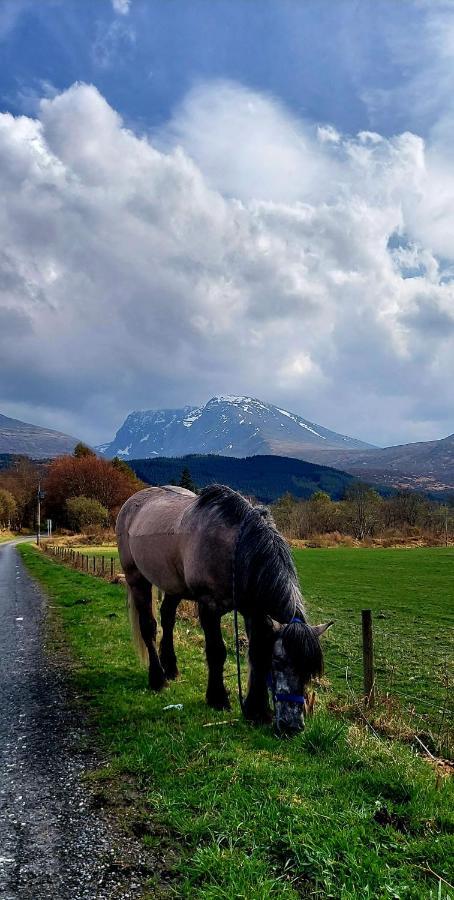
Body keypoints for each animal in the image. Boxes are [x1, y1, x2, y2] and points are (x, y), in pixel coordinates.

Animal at [115, 486, 332, 732]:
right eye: (278, 661)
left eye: (310, 671)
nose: (292, 727)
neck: (235, 549)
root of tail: (132, 503)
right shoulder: (209, 607)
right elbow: (217, 651)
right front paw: (217, 698)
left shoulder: (253, 611)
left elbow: (256, 654)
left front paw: (257, 711)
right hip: (136, 578)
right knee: (149, 627)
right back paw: (158, 679)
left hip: (174, 586)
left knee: (168, 618)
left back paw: (170, 668)